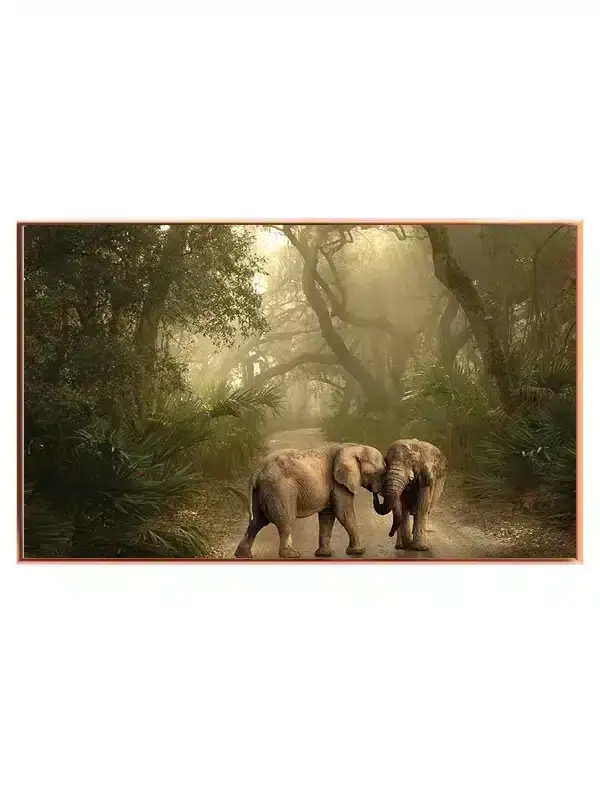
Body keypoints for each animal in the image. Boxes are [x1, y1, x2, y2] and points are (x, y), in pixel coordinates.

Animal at [234, 442, 387, 559]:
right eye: (379, 473)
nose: (375, 494)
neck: (352, 446)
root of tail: (257, 471)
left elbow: (327, 515)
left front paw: (324, 554)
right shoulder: (339, 484)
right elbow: (343, 513)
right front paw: (359, 551)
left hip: (259, 493)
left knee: (256, 522)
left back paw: (243, 555)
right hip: (280, 490)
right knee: (285, 521)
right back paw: (292, 555)